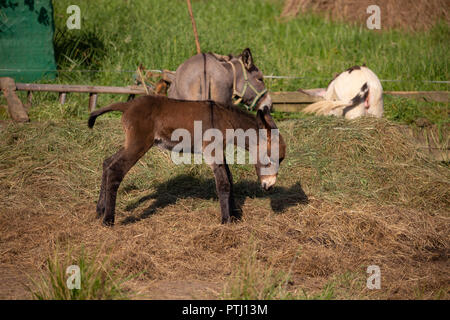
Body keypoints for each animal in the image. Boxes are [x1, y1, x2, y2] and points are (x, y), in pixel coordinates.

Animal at [88, 94, 284, 225]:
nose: (269, 186)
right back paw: (108, 220)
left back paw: (99, 210)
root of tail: (127, 105)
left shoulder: (219, 152)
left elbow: (229, 179)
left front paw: (235, 215)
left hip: (132, 143)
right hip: (138, 144)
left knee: (107, 163)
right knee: (116, 170)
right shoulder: (212, 152)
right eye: (271, 158)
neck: (226, 120)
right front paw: (226, 220)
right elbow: (223, 183)